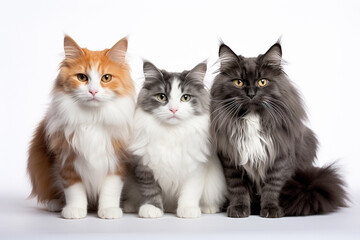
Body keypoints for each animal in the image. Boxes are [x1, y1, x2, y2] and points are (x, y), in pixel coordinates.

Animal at [26, 36, 134, 219]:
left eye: (106, 78)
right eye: (82, 77)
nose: (93, 92)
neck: (93, 119)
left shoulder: (117, 161)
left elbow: (110, 190)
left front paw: (109, 210)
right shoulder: (67, 159)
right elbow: (74, 190)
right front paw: (74, 210)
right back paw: (55, 204)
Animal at [122, 60, 226, 218]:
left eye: (185, 97)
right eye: (162, 97)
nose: (173, 110)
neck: (172, 133)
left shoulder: (196, 169)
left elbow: (190, 193)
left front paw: (188, 210)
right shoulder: (144, 167)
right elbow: (150, 191)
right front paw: (152, 209)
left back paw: (208, 208)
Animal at [210, 41, 348, 218]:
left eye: (262, 81)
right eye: (238, 82)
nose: (251, 93)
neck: (253, 117)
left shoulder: (280, 158)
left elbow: (273, 187)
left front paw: (271, 210)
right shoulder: (231, 159)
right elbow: (237, 188)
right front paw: (239, 209)